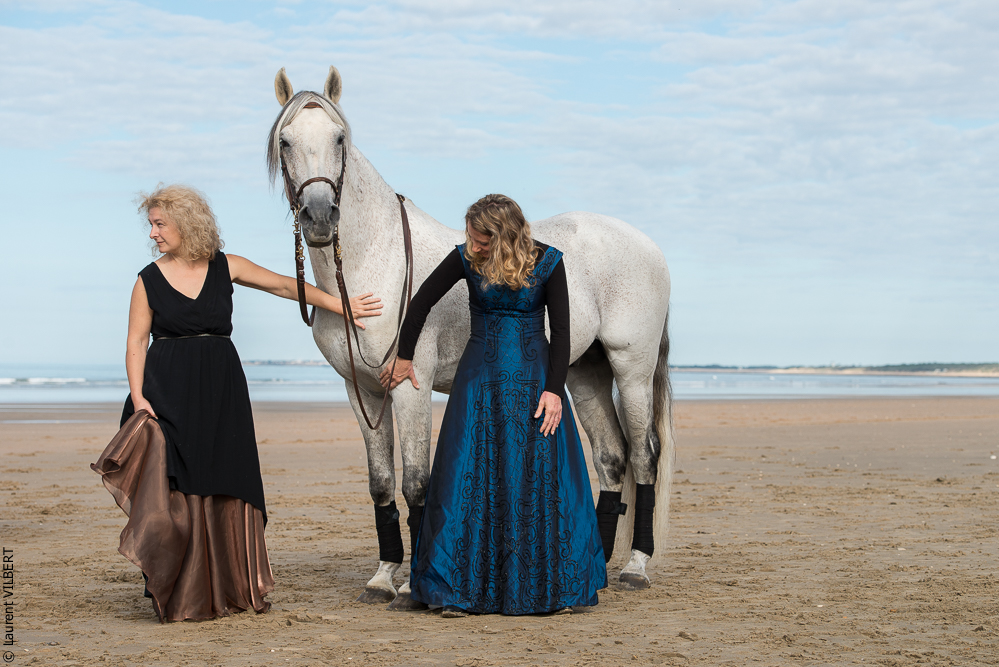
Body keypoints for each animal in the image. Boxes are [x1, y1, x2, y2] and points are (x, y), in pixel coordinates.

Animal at [267, 66, 674, 608]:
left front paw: (412, 585)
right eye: (285, 141)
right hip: (583, 373)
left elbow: (416, 484)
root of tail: (647, 244)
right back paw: (596, 571)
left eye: (339, 138)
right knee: (612, 458)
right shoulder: (363, 392)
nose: (318, 216)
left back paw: (635, 567)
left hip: (631, 370)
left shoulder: (408, 386)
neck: (375, 260)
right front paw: (382, 577)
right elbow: (381, 484)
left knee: (645, 457)